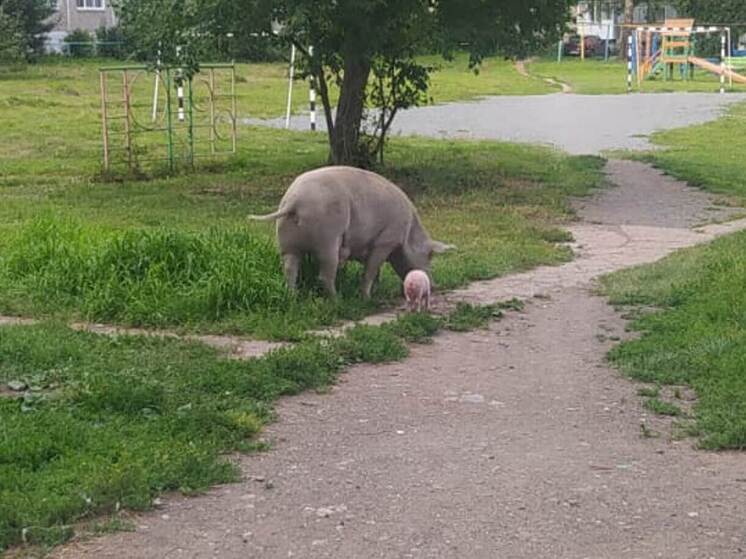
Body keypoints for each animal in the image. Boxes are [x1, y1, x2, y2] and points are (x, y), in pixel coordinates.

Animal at [248, 166, 454, 298]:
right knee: (325, 274)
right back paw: (336, 299)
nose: (435, 286)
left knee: (290, 268)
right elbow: (371, 269)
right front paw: (367, 297)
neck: (408, 234)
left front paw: (375, 289)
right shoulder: (386, 240)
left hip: (286, 241)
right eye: (429, 255)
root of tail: (294, 202)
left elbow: (375, 270)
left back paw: (292, 297)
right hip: (327, 239)